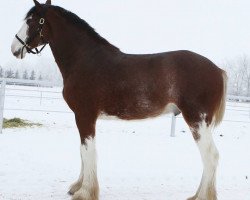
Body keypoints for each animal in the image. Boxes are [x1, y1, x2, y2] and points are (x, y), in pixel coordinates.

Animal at [11, 0, 227, 199]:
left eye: (31, 21)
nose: (14, 48)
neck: (85, 60)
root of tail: (218, 70)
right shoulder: (83, 118)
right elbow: (82, 152)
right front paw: (77, 187)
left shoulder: (84, 116)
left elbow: (88, 152)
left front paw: (85, 192)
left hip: (197, 120)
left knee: (211, 156)